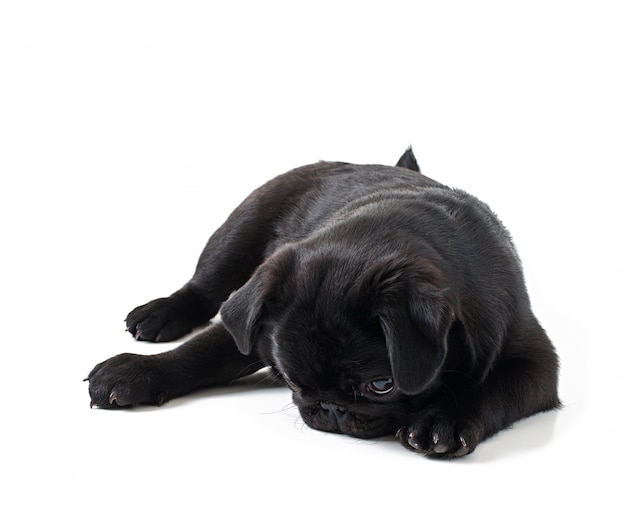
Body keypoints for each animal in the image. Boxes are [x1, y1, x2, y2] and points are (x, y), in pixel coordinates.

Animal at [85, 148, 560, 458]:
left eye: (382, 385)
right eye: (293, 382)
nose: (330, 410)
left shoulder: (535, 364)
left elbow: (492, 389)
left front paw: (443, 418)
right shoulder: (253, 326)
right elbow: (200, 351)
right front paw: (136, 372)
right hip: (242, 227)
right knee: (204, 287)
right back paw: (162, 312)